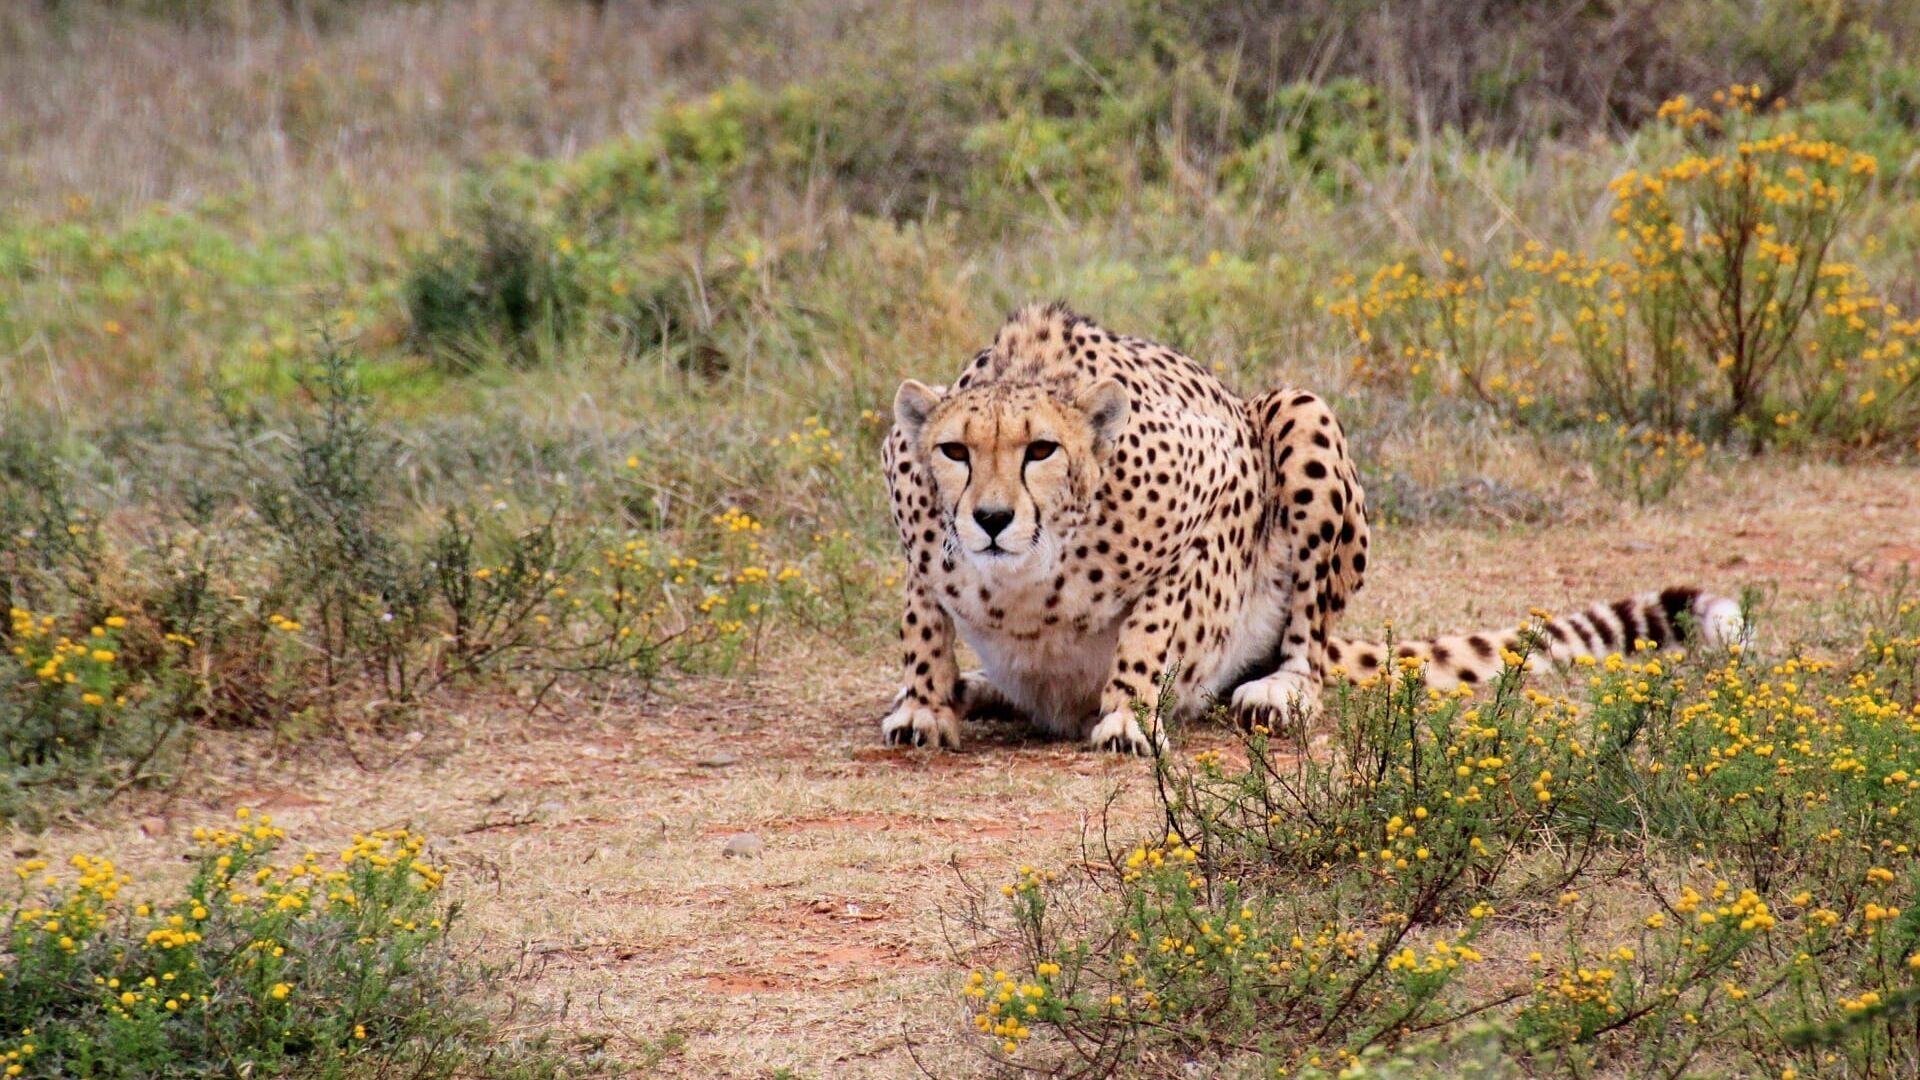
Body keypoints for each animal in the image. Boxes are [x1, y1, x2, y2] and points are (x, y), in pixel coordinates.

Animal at [879, 297, 1751, 753]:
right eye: (955, 451)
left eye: (1042, 450)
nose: (991, 518)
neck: (1026, 574)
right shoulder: (913, 521)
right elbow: (922, 618)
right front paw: (925, 703)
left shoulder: (1219, 492)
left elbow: (1155, 622)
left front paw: (1126, 710)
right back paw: (977, 687)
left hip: (1299, 412)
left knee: (1310, 638)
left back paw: (1281, 690)